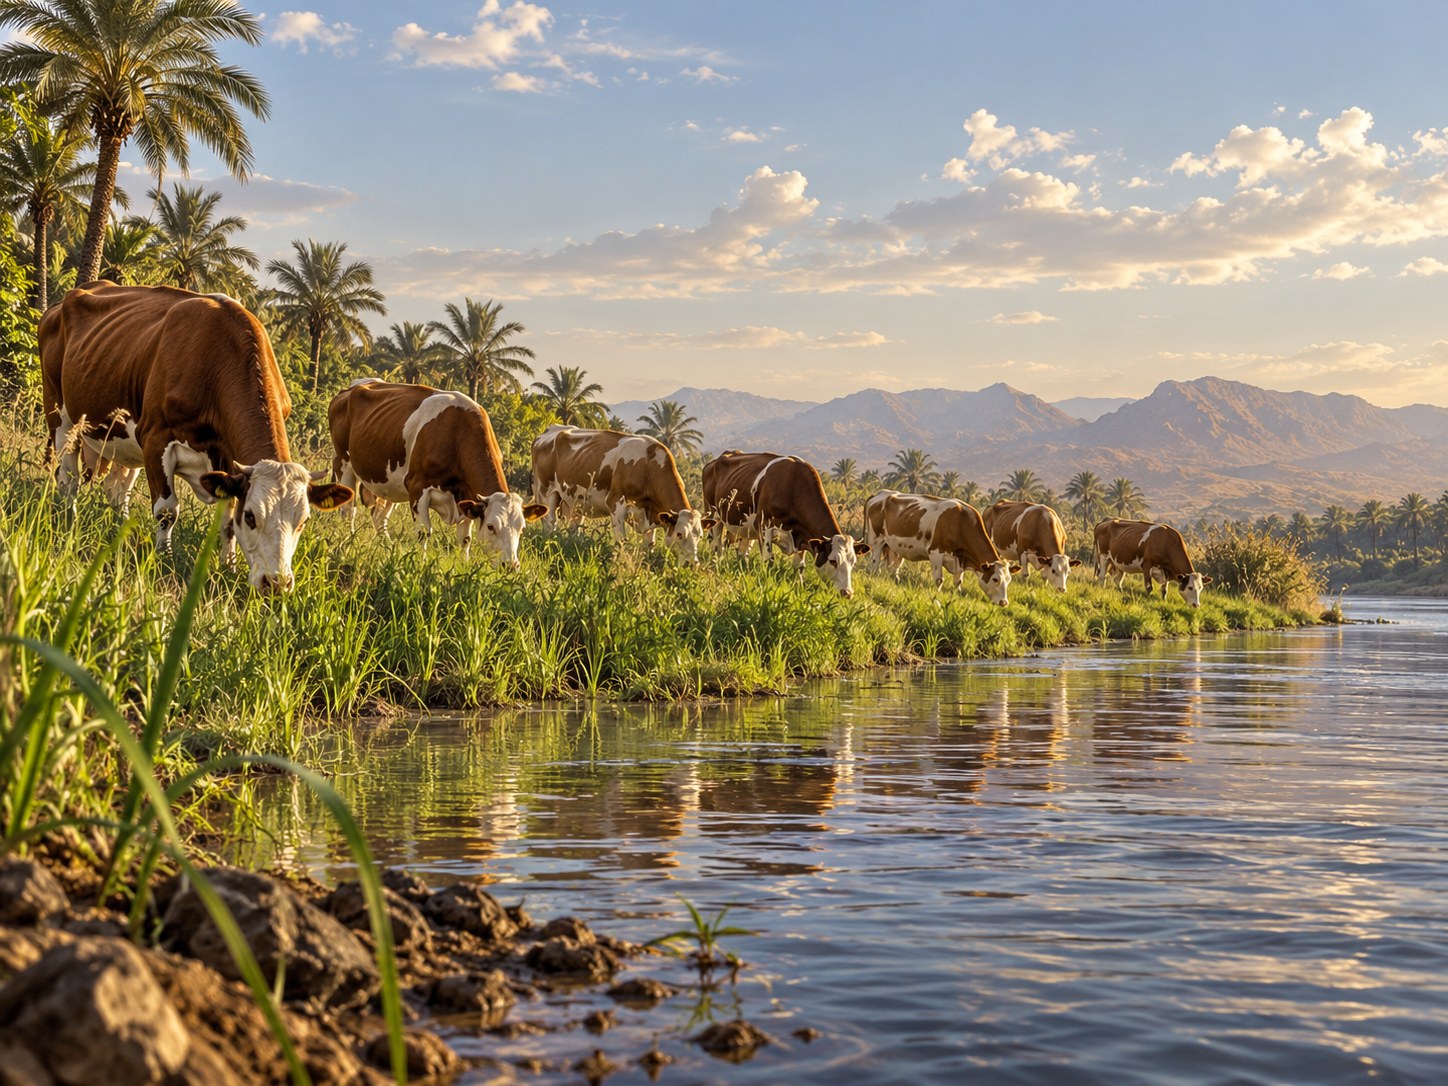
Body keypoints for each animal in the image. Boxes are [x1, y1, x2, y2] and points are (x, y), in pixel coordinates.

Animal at [40, 282, 352, 593]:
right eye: (251, 515)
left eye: (303, 521)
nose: (276, 583)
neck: (217, 364)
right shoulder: (155, 440)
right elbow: (167, 511)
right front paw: (163, 557)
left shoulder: (228, 463)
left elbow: (227, 524)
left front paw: (229, 567)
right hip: (60, 414)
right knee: (68, 478)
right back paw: (68, 519)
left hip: (124, 439)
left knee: (118, 491)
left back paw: (120, 526)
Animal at [328, 379, 546, 567]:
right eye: (491, 526)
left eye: (522, 528)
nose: (511, 565)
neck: (457, 434)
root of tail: (351, 388)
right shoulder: (417, 488)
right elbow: (424, 532)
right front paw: (421, 564)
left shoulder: (466, 496)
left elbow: (465, 539)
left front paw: (464, 565)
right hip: (344, 464)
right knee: (348, 512)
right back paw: (349, 542)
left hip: (389, 481)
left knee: (379, 517)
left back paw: (388, 546)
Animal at [530, 425, 714, 563]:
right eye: (679, 534)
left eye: (700, 535)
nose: (692, 563)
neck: (648, 465)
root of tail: (552, 430)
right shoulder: (615, 502)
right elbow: (621, 541)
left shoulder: (651, 515)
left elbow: (650, 545)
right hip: (545, 492)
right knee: (550, 524)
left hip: (576, 502)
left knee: (574, 527)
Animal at [701, 450, 869, 596]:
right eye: (833, 561)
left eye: (853, 562)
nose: (847, 593)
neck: (794, 487)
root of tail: (715, 461)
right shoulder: (764, 526)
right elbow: (768, 560)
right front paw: (766, 582)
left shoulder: (802, 536)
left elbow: (799, 567)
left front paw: (798, 588)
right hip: (714, 514)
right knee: (716, 545)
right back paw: (716, 563)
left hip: (746, 528)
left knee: (742, 553)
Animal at [864, 490, 1019, 604]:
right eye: (995, 579)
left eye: (1009, 580)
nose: (1004, 602)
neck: (960, 522)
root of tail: (880, 493)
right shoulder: (935, 552)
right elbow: (939, 579)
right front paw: (936, 595)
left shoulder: (960, 559)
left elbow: (958, 581)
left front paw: (958, 595)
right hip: (876, 540)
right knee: (874, 564)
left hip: (893, 546)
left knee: (892, 568)